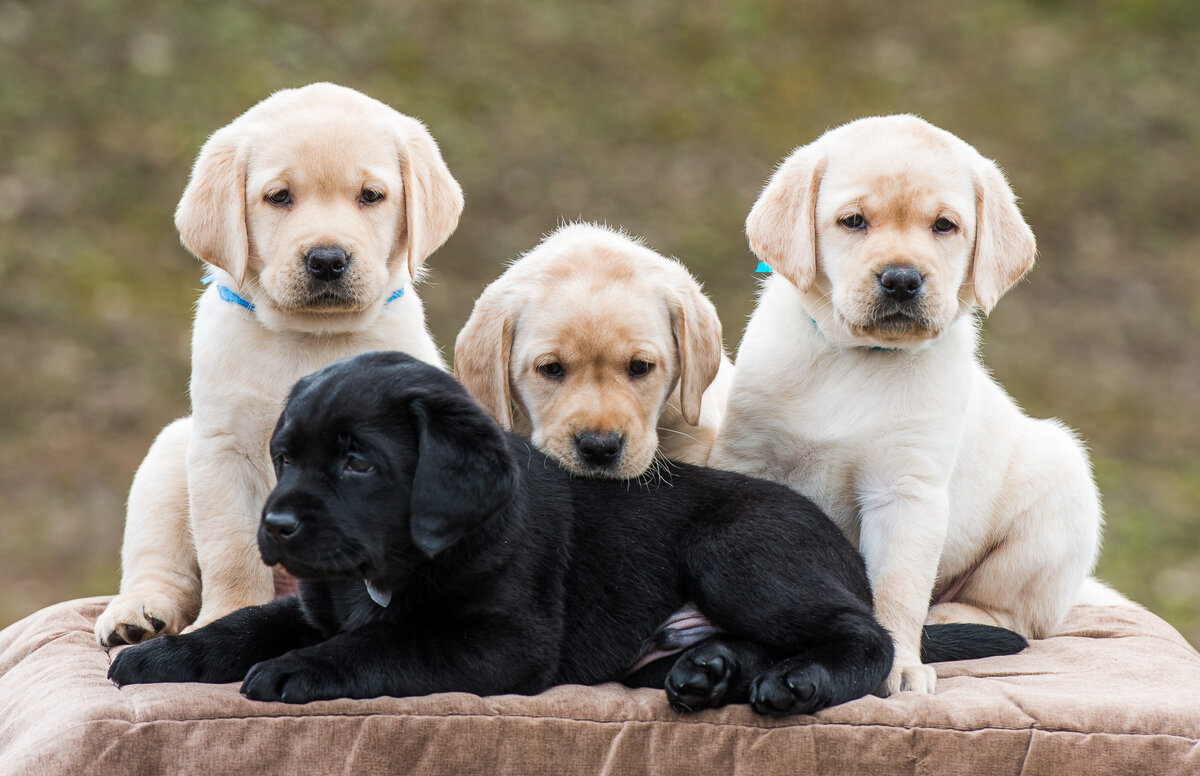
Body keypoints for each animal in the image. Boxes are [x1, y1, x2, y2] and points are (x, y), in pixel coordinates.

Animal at [94, 83, 463, 647]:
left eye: (370, 196)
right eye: (279, 197)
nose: (327, 260)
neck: (311, 337)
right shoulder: (222, 451)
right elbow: (232, 550)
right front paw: (229, 616)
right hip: (169, 456)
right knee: (160, 565)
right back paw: (136, 614)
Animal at [108, 352, 1022, 714]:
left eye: (358, 462)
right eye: (285, 455)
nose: (277, 524)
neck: (397, 564)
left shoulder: (503, 638)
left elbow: (383, 643)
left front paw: (295, 671)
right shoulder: (311, 602)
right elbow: (241, 624)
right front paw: (158, 656)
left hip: (740, 550)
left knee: (867, 637)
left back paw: (794, 683)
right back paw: (710, 672)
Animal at [705, 115, 1099, 700]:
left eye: (944, 226)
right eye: (853, 221)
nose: (901, 279)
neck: (858, 358)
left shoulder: (907, 491)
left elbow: (895, 585)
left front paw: (899, 667)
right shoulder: (749, 458)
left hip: (1057, 489)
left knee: (1016, 614)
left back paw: (951, 619)